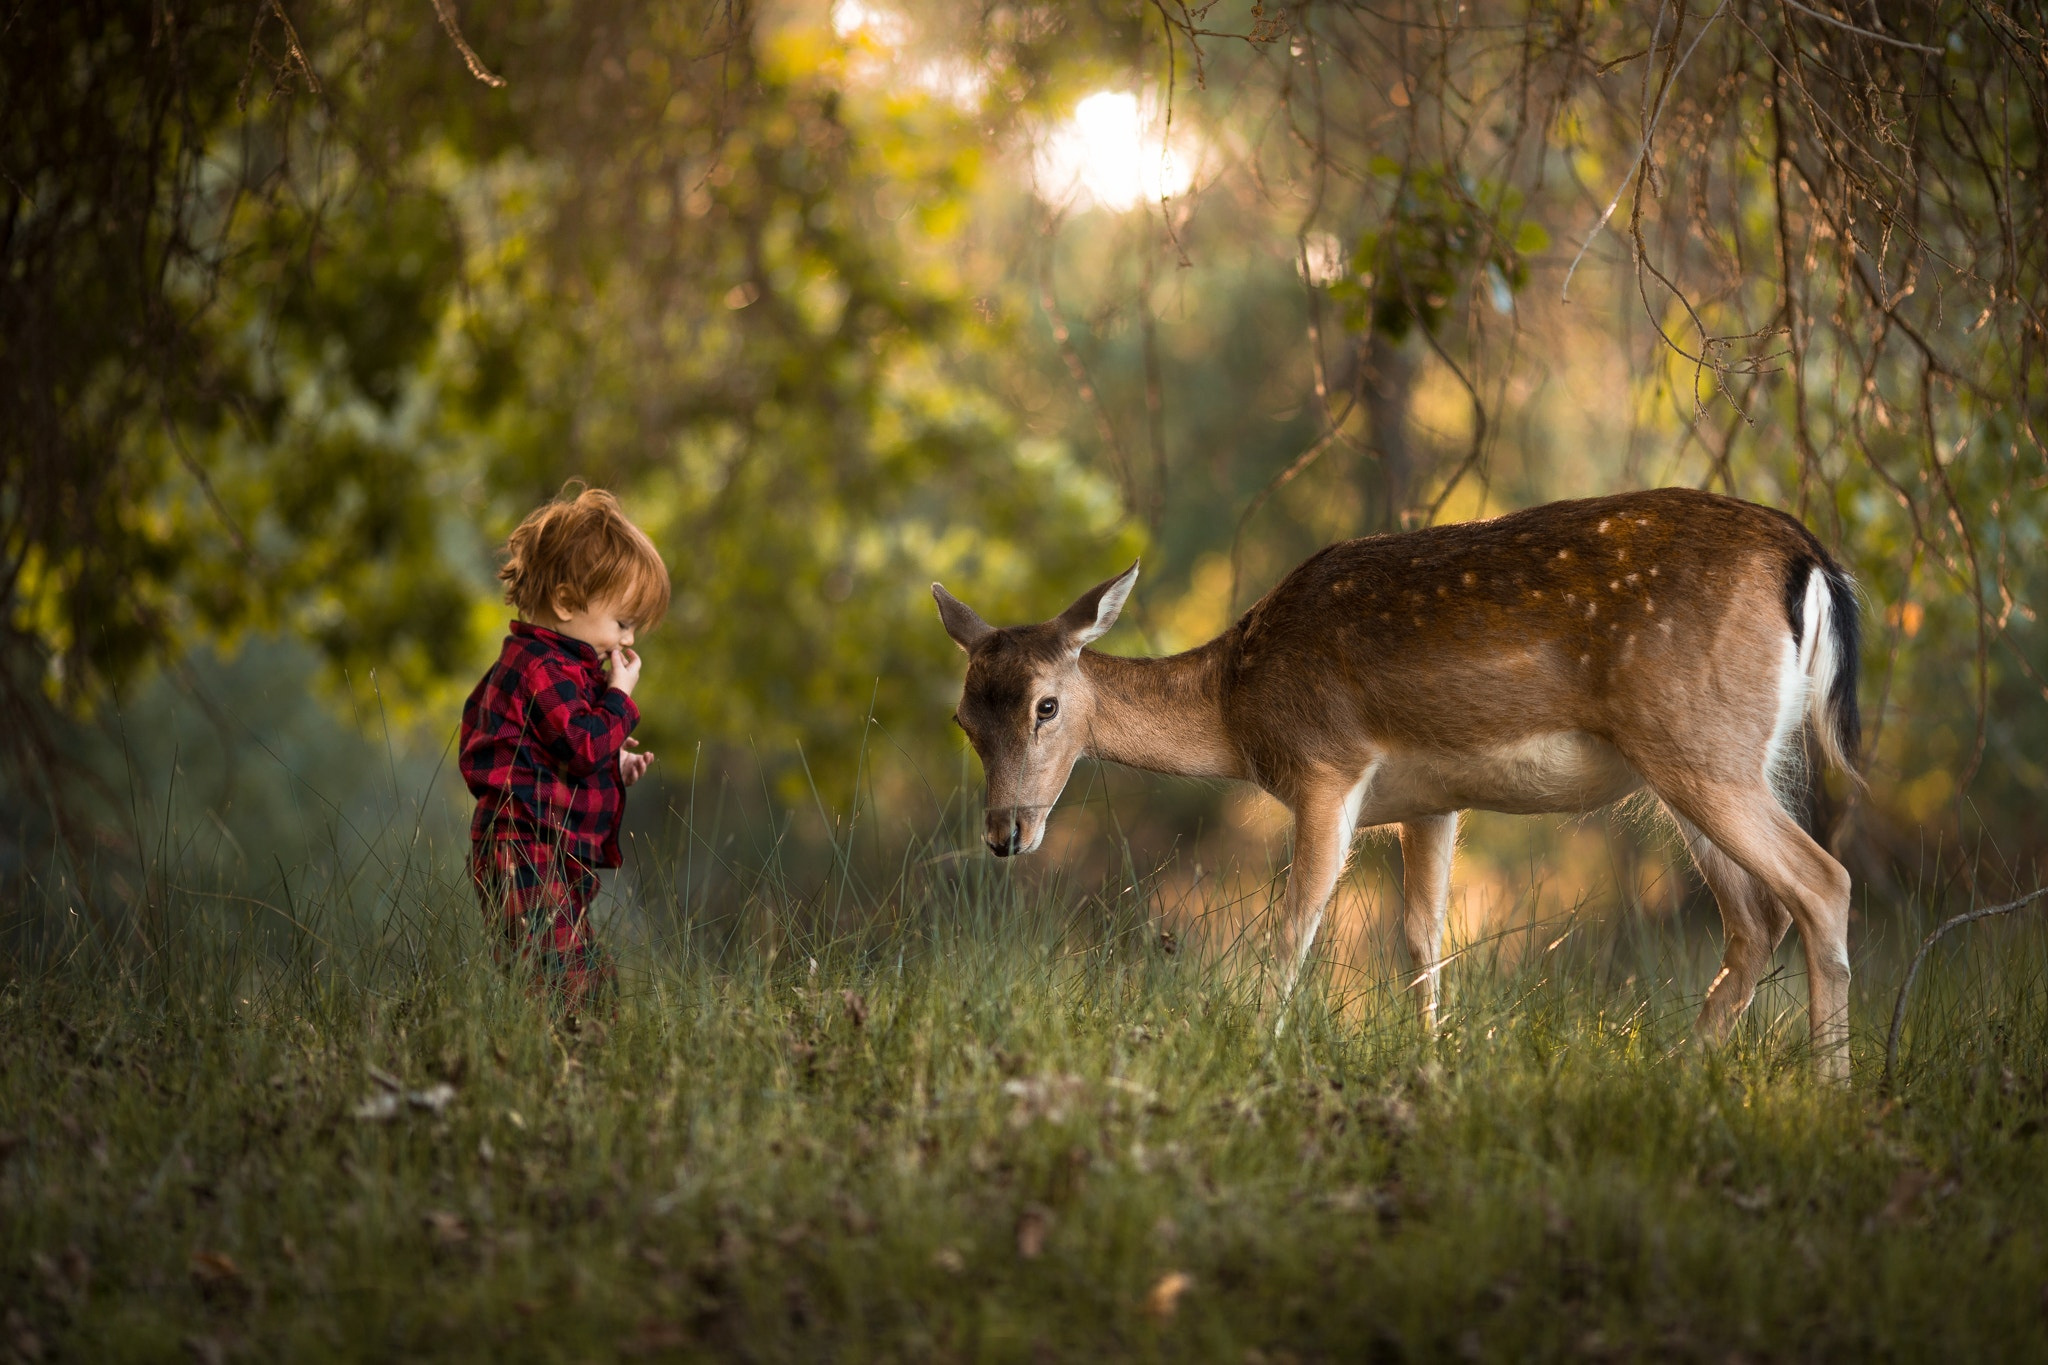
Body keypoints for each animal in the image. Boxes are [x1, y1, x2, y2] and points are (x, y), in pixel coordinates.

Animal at [937, 489, 1867, 1080]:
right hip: (1711, 759)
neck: (1239, 703)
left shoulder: (1327, 764)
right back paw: (1677, 1073)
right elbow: (1425, 939)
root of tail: (1810, 561)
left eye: (1047, 705)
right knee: (1757, 918)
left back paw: (1829, 1096)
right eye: (964, 719)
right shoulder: (1433, 799)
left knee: (1823, 881)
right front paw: (1433, 1061)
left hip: (1700, 744)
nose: (1005, 832)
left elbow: (1296, 928)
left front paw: (1259, 1052)